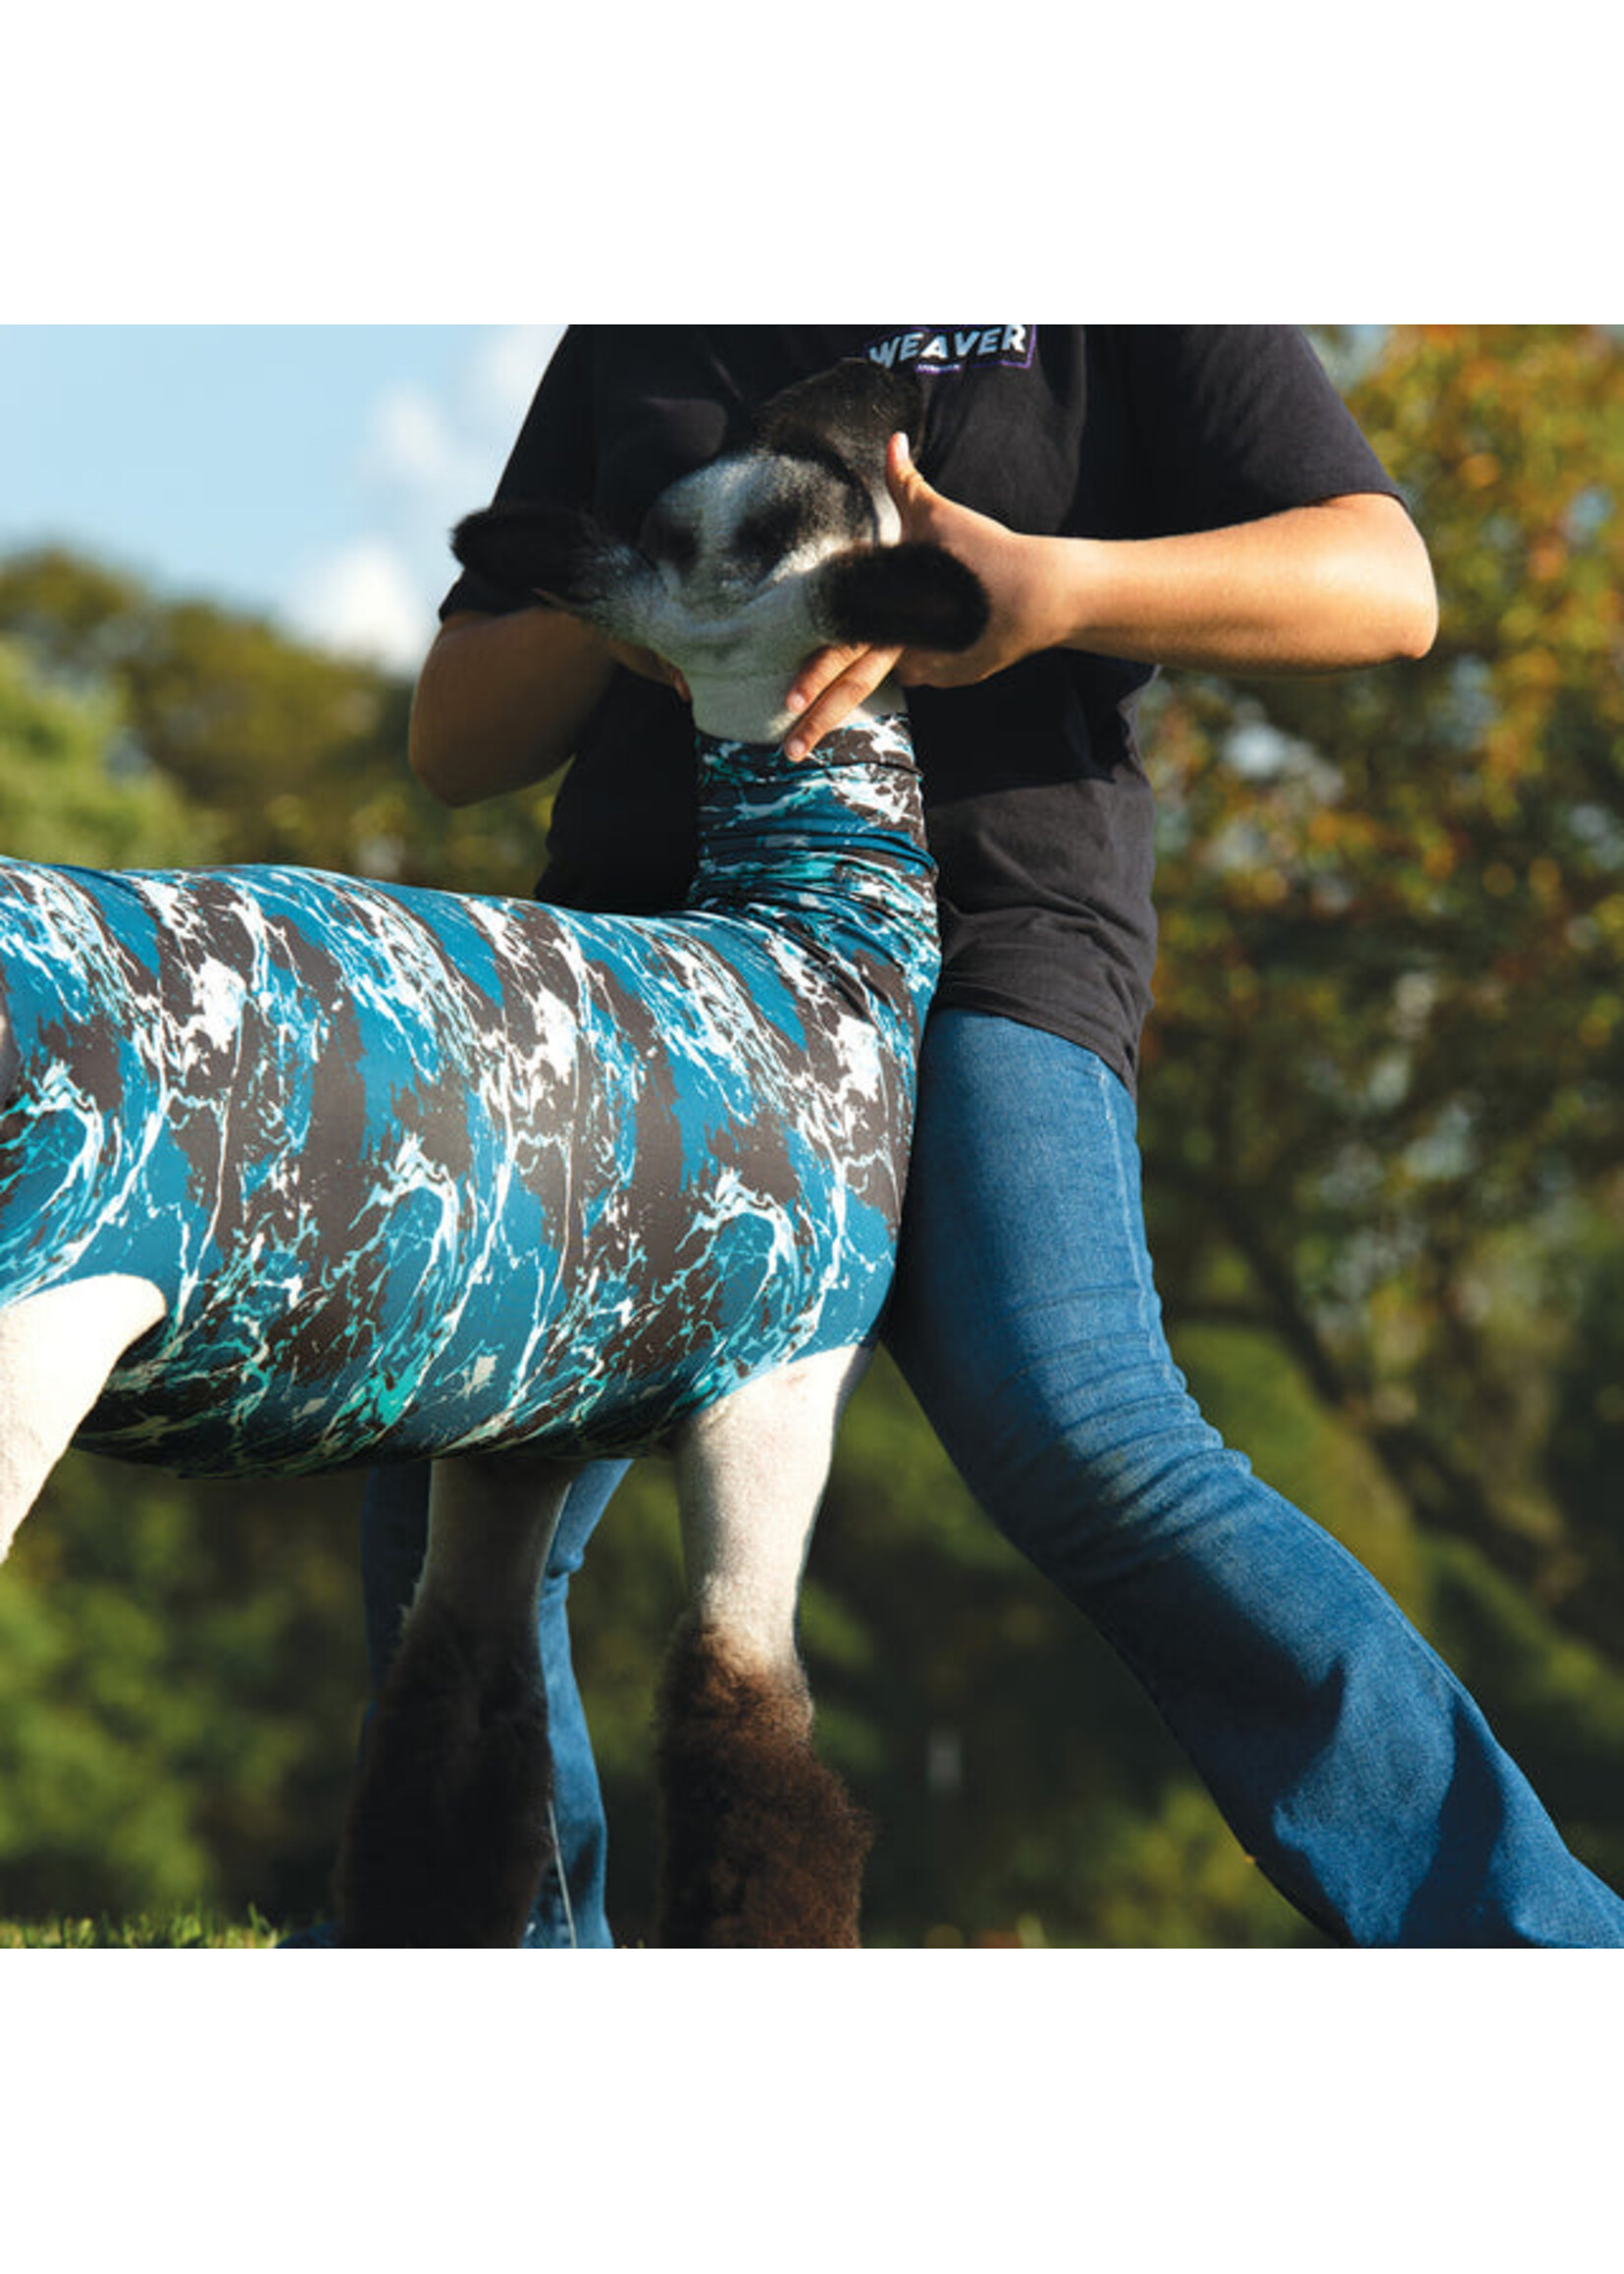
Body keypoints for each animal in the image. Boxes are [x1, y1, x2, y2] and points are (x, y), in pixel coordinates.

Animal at [0, 359, 987, 1945]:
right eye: (820, 478)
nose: (865, 380)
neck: (815, 939)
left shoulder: (518, 1424)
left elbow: (452, 1744)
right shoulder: (784, 1391)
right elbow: (751, 1753)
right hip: (41, 1320)